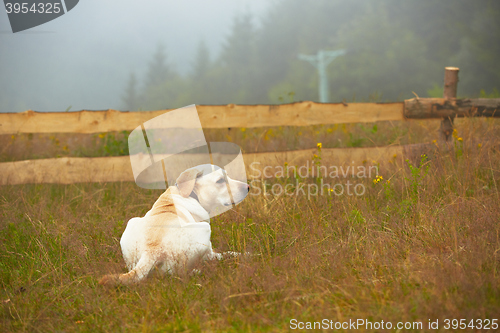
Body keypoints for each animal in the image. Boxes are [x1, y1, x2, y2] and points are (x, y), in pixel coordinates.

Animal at [99, 163, 250, 286]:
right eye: (220, 181)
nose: (248, 187)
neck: (191, 195)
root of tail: (151, 252)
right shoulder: (211, 252)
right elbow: (228, 253)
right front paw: (245, 254)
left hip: (132, 223)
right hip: (205, 231)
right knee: (180, 273)